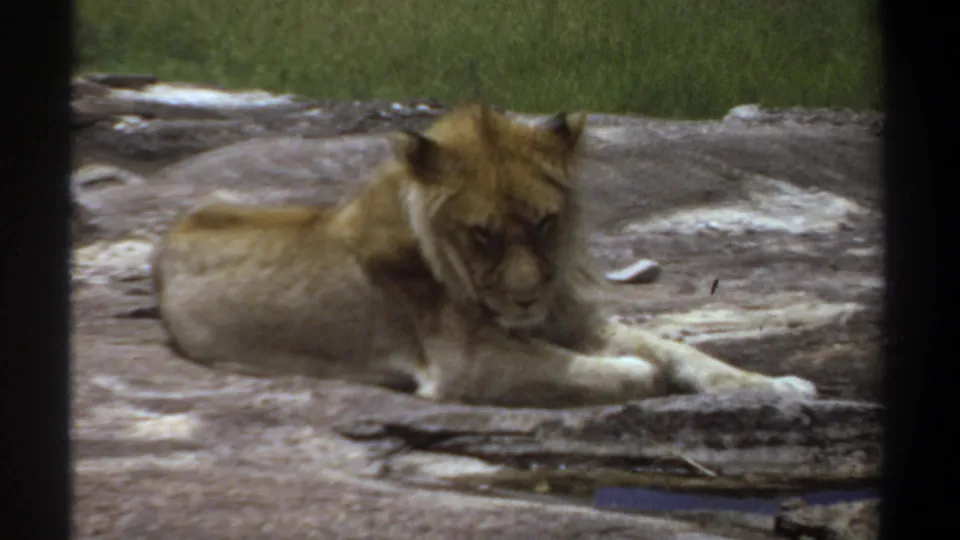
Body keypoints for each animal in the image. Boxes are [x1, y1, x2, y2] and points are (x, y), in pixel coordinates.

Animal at [151, 102, 816, 408]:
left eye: (545, 223)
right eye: (483, 234)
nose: (525, 299)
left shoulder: (568, 317)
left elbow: (682, 349)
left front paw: (775, 385)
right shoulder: (465, 364)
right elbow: (587, 366)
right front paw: (634, 373)